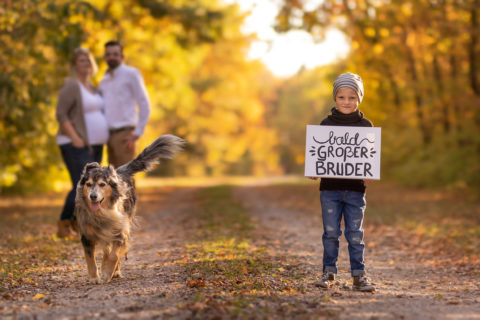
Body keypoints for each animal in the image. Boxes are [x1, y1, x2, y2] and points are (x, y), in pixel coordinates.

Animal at [74, 134, 185, 282]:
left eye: (102, 184)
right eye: (88, 184)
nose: (93, 196)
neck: (102, 213)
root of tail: (119, 171)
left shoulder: (121, 231)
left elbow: (115, 255)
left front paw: (107, 273)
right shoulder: (87, 235)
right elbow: (90, 259)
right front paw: (94, 277)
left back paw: (114, 271)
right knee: (106, 249)